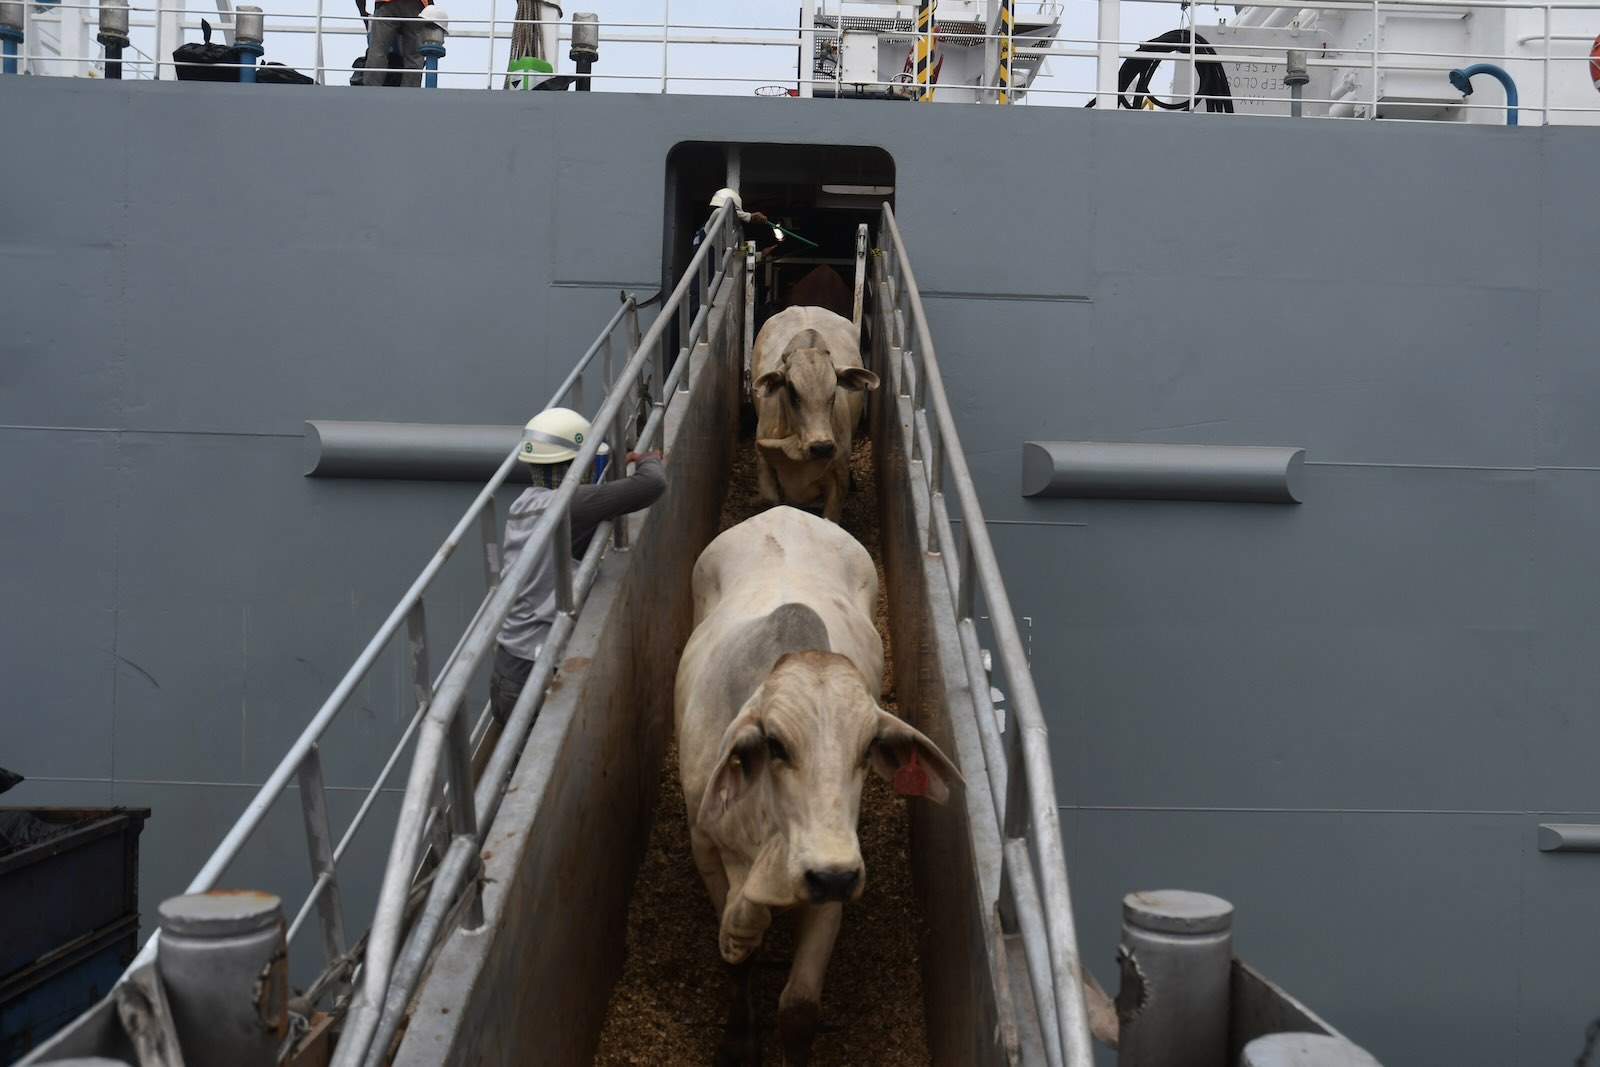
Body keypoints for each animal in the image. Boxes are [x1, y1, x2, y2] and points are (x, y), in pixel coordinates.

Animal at [675, 506, 961, 1066]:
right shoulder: (706, 848)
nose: (828, 872)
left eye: (868, 750)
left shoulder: (837, 873)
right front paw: (738, 1041)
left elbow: (799, 1008)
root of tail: (783, 511)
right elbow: (736, 958)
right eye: (776, 745)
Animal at [751, 306, 879, 523]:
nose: (821, 447)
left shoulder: (838, 477)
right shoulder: (764, 463)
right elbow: (770, 499)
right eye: (792, 391)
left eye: (834, 392)